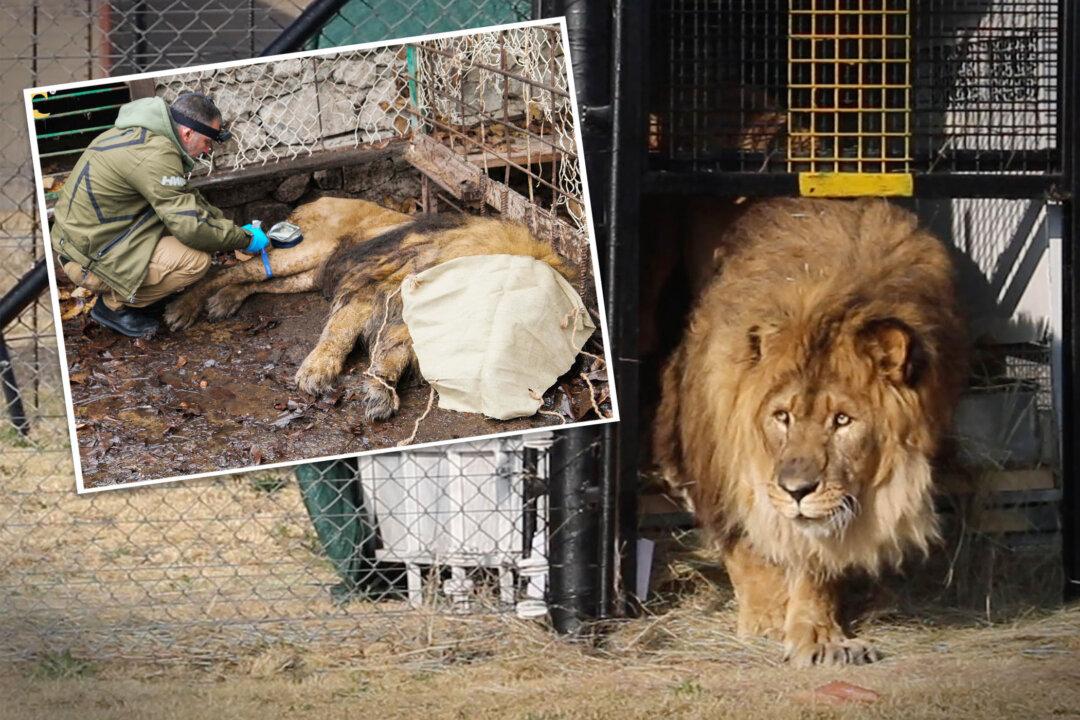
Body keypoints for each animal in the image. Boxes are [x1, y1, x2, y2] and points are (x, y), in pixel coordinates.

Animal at [164, 196, 573, 420]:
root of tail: (314, 200)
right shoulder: (372, 291)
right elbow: (339, 333)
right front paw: (316, 373)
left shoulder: (399, 317)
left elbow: (391, 352)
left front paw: (379, 391)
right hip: (303, 252)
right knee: (233, 270)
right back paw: (184, 307)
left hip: (308, 274)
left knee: (254, 280)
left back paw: (225, 301)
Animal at [653, 197, 967, 666]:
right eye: (782, 416)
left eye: (842, 420)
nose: (796, 490)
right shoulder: (720, 461)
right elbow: (747, 546)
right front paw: (765, 619)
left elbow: (816, 560)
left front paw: (819, 635)